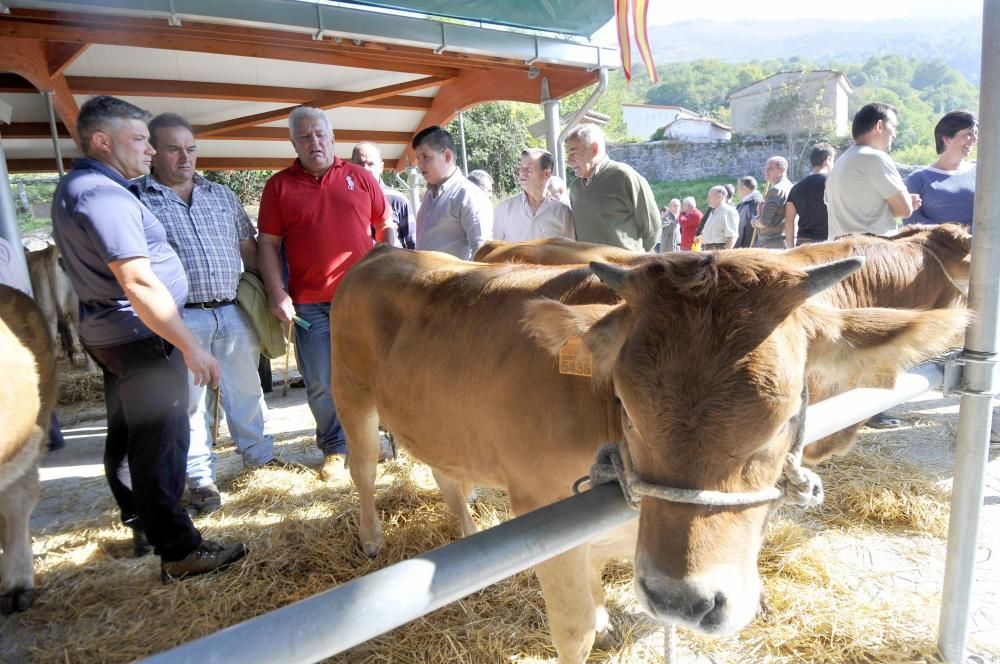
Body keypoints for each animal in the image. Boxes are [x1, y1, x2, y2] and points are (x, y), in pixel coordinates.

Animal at [332, 246, 964, 660]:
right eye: (626, 405)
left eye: (785, 418)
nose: (682, 601)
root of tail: (383, 253)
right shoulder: (542, 517)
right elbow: (574, 631)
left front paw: (608, 615)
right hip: (351, 395)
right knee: (361, 467)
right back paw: (371, 539)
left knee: (447, 474)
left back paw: (466, 534)